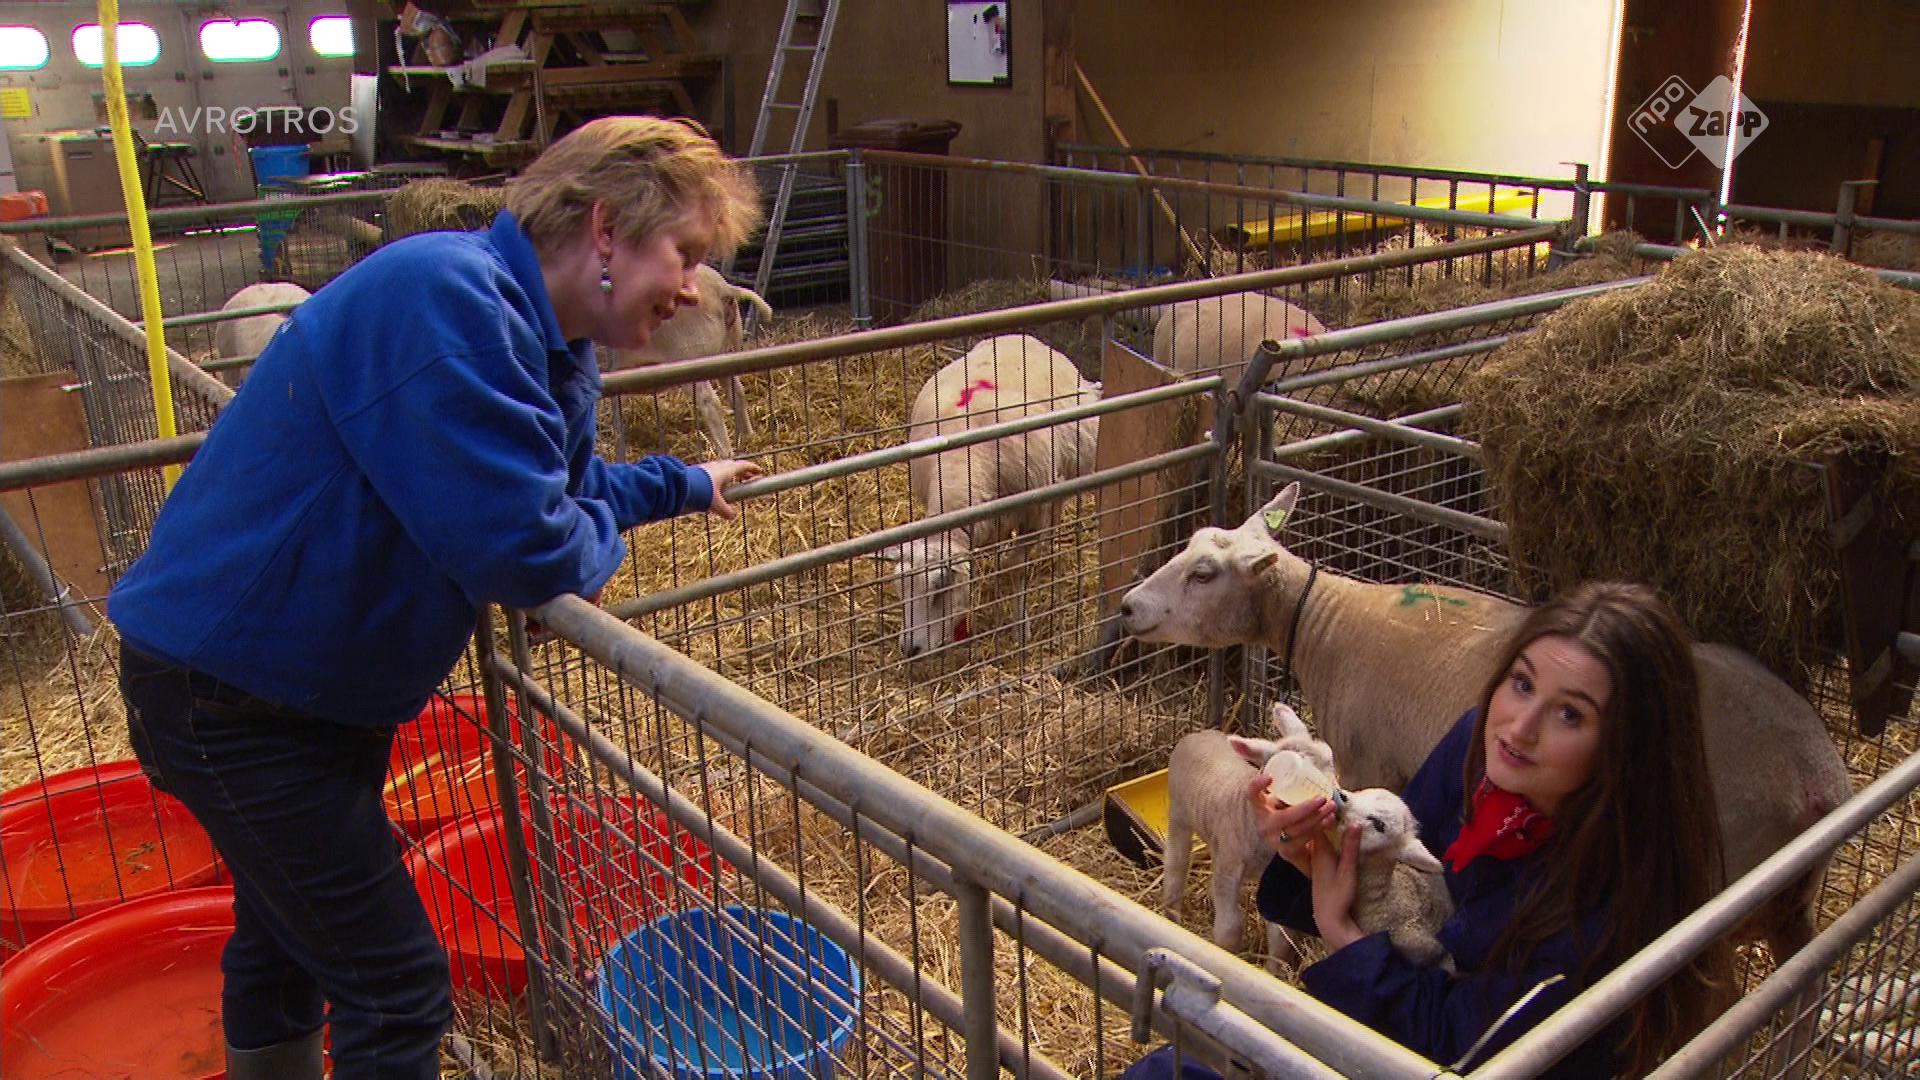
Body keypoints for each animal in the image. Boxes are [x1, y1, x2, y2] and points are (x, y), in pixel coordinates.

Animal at [603, 263, 773, 457]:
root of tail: (721, 287)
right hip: (724, 354)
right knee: (737, 392)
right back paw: (748, 438)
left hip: (689, 357)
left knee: (711, 403)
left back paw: (724, 454)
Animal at [873, 334, 1101, 657]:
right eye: (899, 589)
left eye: (939, 589)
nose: (909, 649)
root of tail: (1020, 336)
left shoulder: (1033, 514)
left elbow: (1014, 567)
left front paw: (1020, 628)